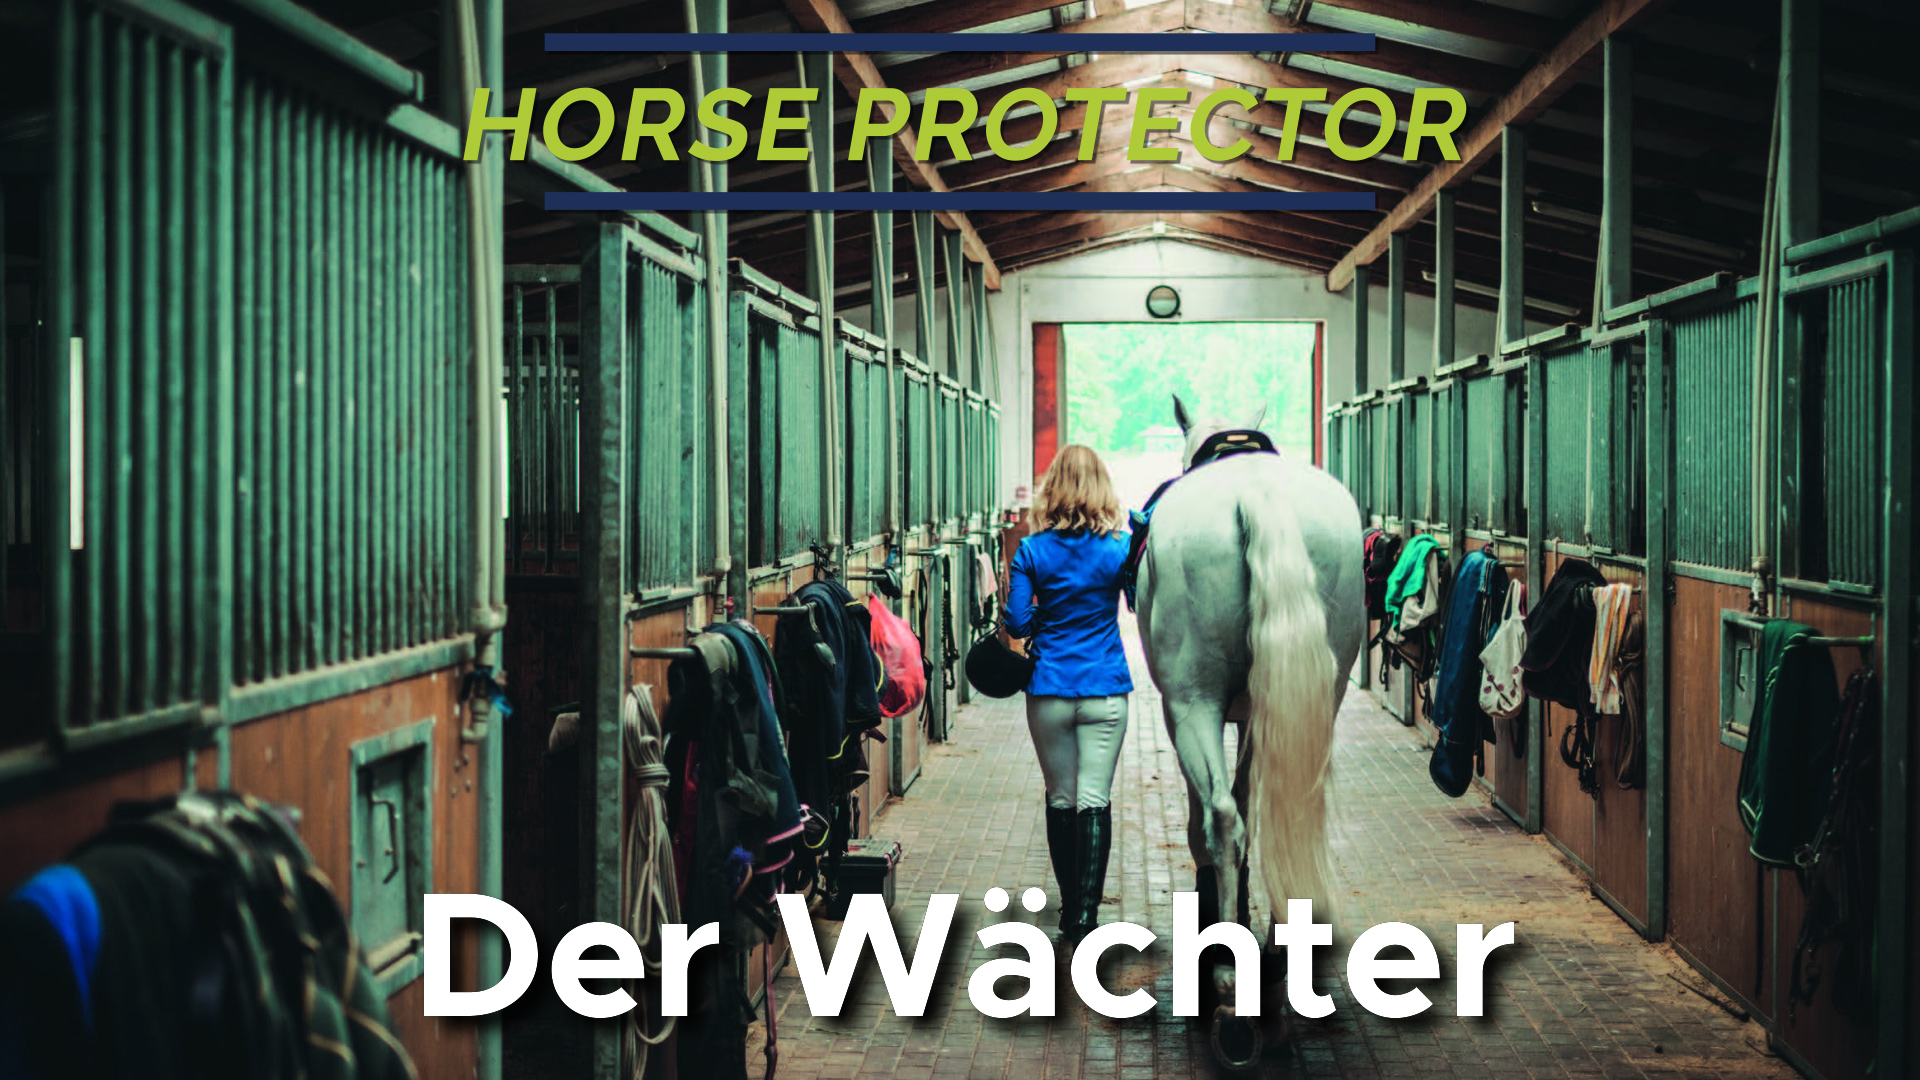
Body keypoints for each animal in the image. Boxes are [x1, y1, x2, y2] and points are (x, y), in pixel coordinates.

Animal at [1134, 397, 1364, 1068]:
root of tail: (1255, 491)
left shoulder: (1185, 712)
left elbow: (1205, 820)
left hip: (1193, 704)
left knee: (1222, 819)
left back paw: (1229, 992)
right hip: (1311, 699)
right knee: (1278, 813)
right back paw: (1274, 972)